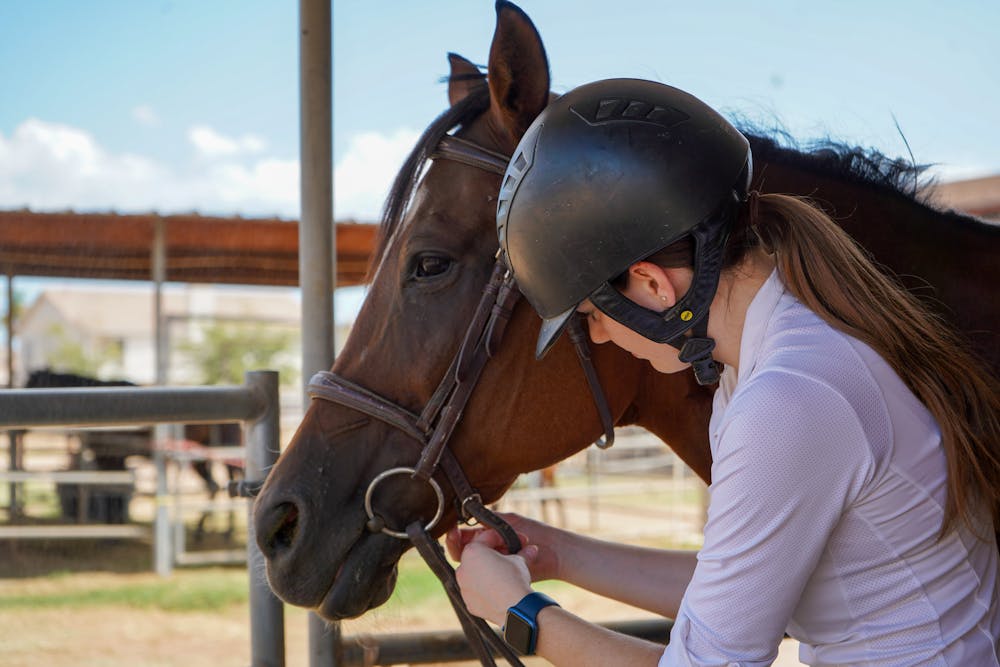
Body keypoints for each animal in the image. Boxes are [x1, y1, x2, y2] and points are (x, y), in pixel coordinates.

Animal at [24, 368, 244, 540]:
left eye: (30, 384)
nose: (21, 430)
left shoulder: (111, 459)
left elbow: (114, 490)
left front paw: (114, 532)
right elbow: (114, 490)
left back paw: (220, 532)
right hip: (201, 459)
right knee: (215, 486)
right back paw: (208, 532)